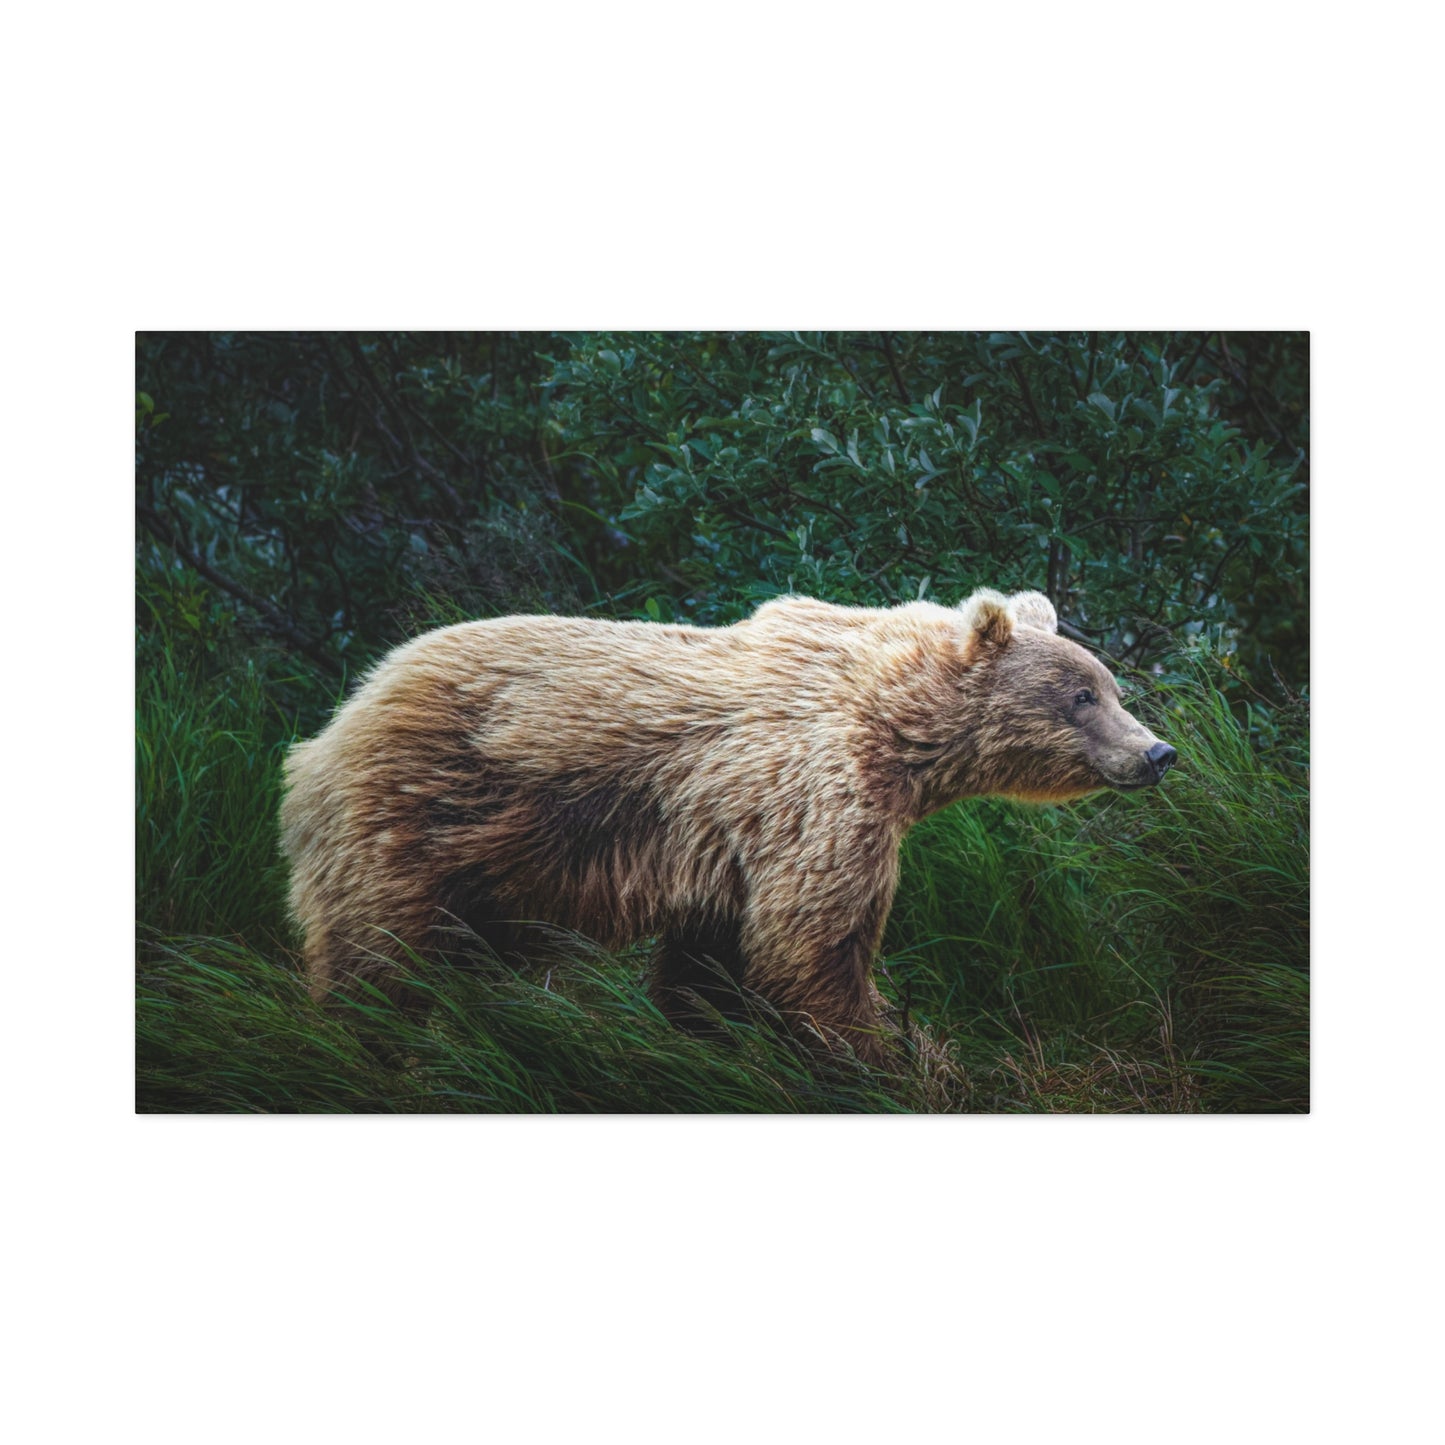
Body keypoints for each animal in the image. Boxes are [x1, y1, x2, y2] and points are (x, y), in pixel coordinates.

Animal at [279, 587, 1176, 1066]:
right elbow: (815, 947)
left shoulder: (727, 846)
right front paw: (894, 1048)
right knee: (377, 957)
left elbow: (712, 964)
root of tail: (329, 726)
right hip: (417, 816)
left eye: (1111, 686)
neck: (899, 735)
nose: (1156, 751)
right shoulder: (817, 800)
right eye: (1081, 695)